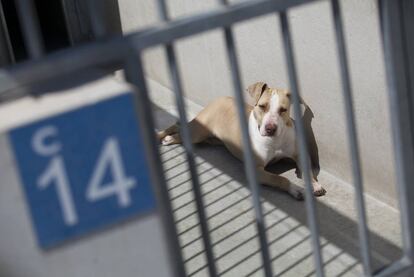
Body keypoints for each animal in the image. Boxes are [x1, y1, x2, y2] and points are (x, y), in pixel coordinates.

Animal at [158, 81, 326, 199]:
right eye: (262, 106)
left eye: (283, 110)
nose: (270, 128)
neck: (275, 140)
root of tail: (218, 99)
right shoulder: (255, 170)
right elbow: (279, 178)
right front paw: (296, 189)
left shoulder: (299, 155)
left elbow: (307, 170)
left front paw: (315, 185)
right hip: (197, 132)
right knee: (179, 128)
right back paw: (167, 137)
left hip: (209, 138)